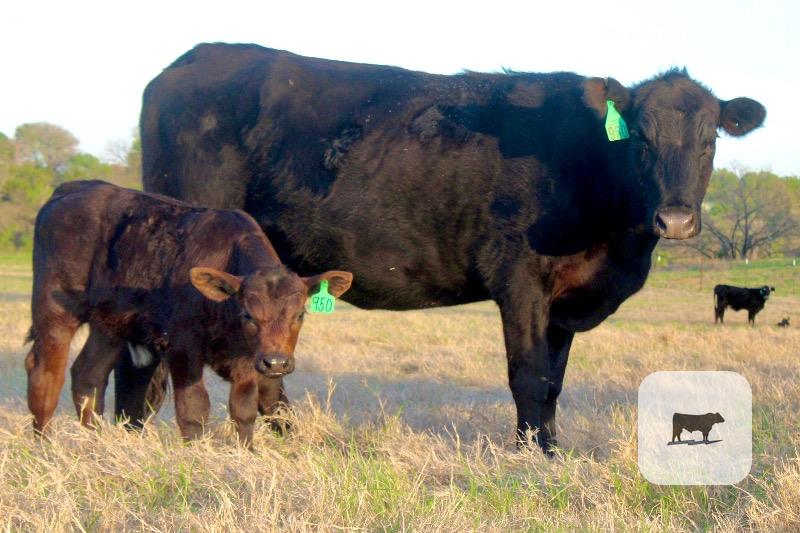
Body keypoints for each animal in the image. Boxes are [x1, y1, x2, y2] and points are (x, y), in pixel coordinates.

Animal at [25, 180, 352, 446]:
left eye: (300, 315)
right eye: (248, 315)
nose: (276, 363)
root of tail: (73, 189)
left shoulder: (247, 360)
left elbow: (244, 409)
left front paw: (247, 452)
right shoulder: (183, 348)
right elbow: (194, 409)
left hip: (109, 324)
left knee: (88, 376)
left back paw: (94, 442)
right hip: (55, 311)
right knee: (45, 373)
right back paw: (45, 445)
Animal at [132, 43, 765, 453]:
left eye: (709, 139)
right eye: (641, 138)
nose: (675, 218)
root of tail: (190, 61)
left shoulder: (563, 303)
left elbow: (554, 381)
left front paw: (551, 448)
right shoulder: (520, 278)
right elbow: (529, 375)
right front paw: (529, 456)